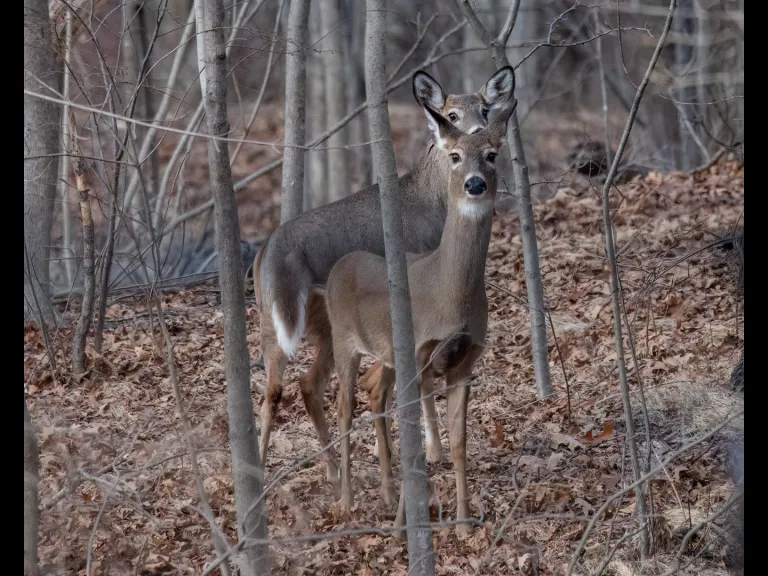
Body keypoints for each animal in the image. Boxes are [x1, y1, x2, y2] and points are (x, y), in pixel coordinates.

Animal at [253, 67, 516, 485]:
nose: (477, 132)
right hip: (288, 322)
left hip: (304, 323)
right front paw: (431, 451)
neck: (431, 203)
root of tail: (266, 250)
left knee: (305, 385)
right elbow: (420, 379)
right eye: (452, 114)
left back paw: (333, 473)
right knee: (275, 391)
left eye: (486, 109)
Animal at [324, 98, 516, 537]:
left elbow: (459, 442)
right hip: (343, 339)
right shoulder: (417, 354)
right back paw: (347, 501)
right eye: (455, 155)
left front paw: (463, 524)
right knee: (343, 407)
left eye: (492, 154)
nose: (474, 185)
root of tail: (339, 266)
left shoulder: (465, 361)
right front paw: (406, 526)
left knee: (374, 389)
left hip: (387, 354)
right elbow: (415, 441)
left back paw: (387, 493)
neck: (450, 297)